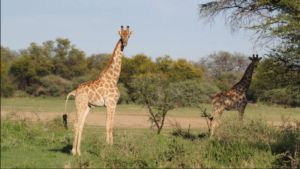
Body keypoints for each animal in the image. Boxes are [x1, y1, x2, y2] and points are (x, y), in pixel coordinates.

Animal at [63, 25, 132, 156]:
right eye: (121, 35)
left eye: (129, 35)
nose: (125, 43)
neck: (113, 79)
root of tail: (75, 92)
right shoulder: (109, 104)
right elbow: (107, 126)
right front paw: (107, 149)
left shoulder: (114, 105)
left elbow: (111, 125)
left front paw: (111, 147)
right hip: (80, 104)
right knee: (76, 123)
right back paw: (73, 151)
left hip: (87, 106)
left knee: (81, 124)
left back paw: (79, 151)